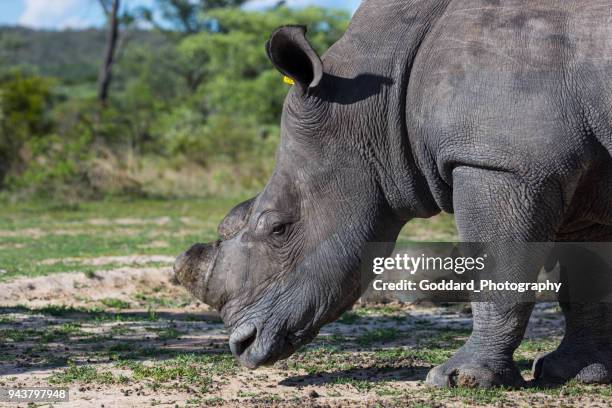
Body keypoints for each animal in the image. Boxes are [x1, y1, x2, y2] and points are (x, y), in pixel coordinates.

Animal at [172, 0, 612, 388]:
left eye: (278, 228)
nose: (241, 346)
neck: (374, 107)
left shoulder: (502, 163)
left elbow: (498, 275)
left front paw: (460, 379)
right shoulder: (575, 179)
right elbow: (585, 282)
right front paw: (574, 373)